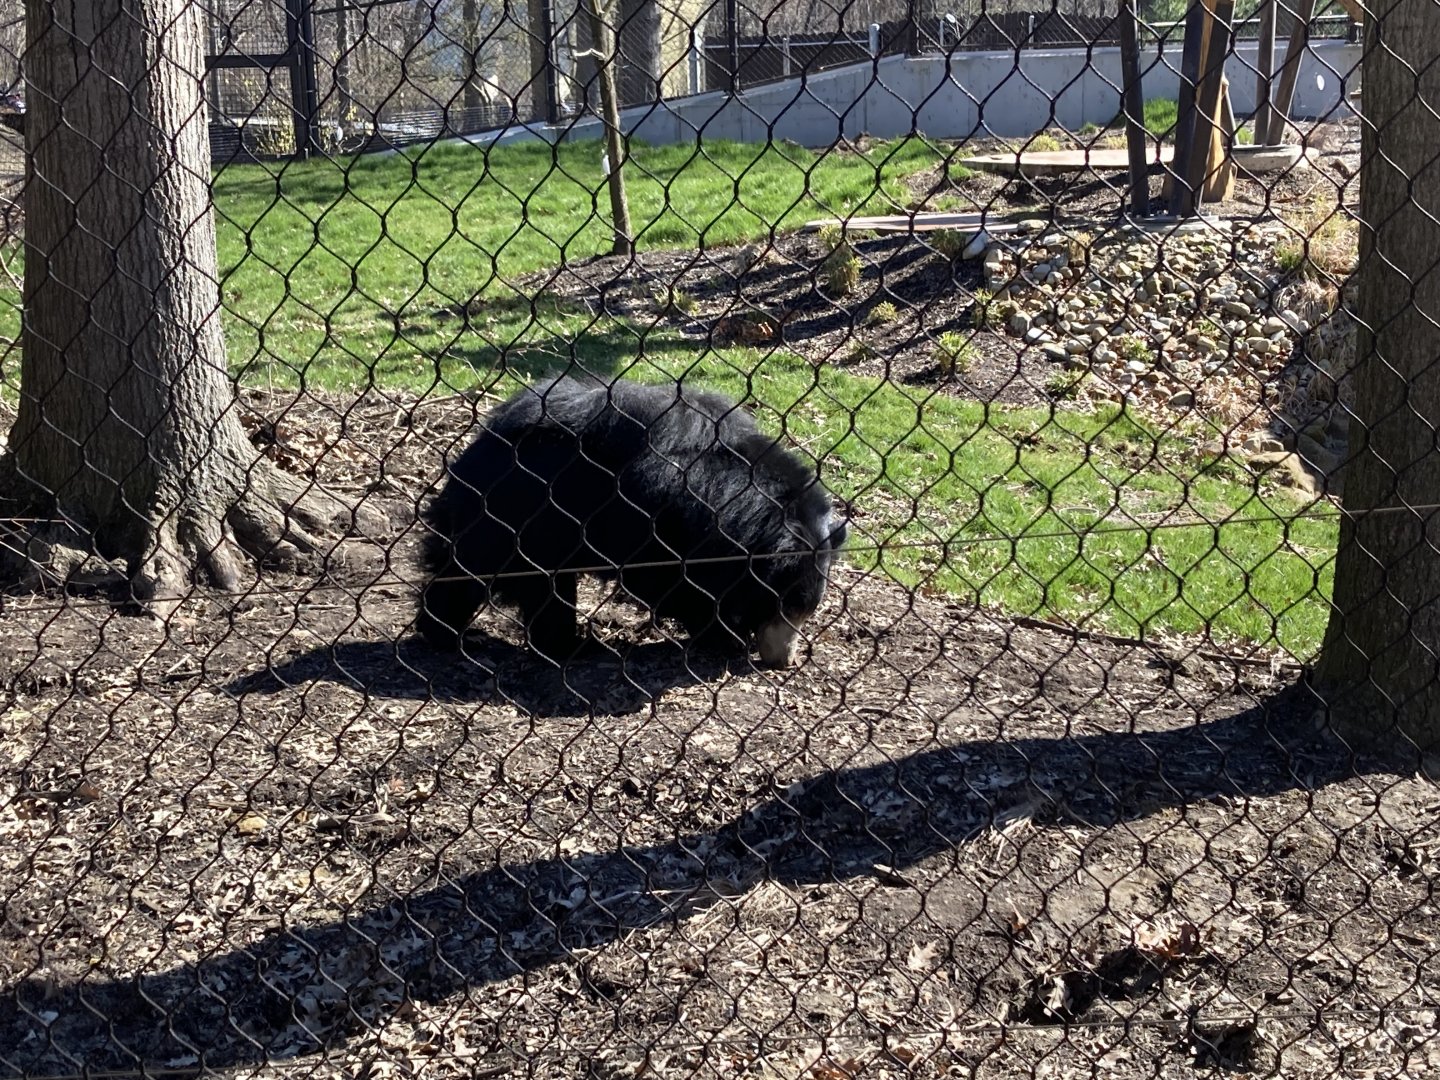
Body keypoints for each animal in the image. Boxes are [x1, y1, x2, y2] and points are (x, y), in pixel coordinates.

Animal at [415, 373, 846, 667]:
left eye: (808, 611)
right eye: (784, 607)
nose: (783, 660)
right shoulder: (666, 524)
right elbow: (675, 585)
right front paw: (723, 635)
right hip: (519, 520)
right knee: (509, 582)